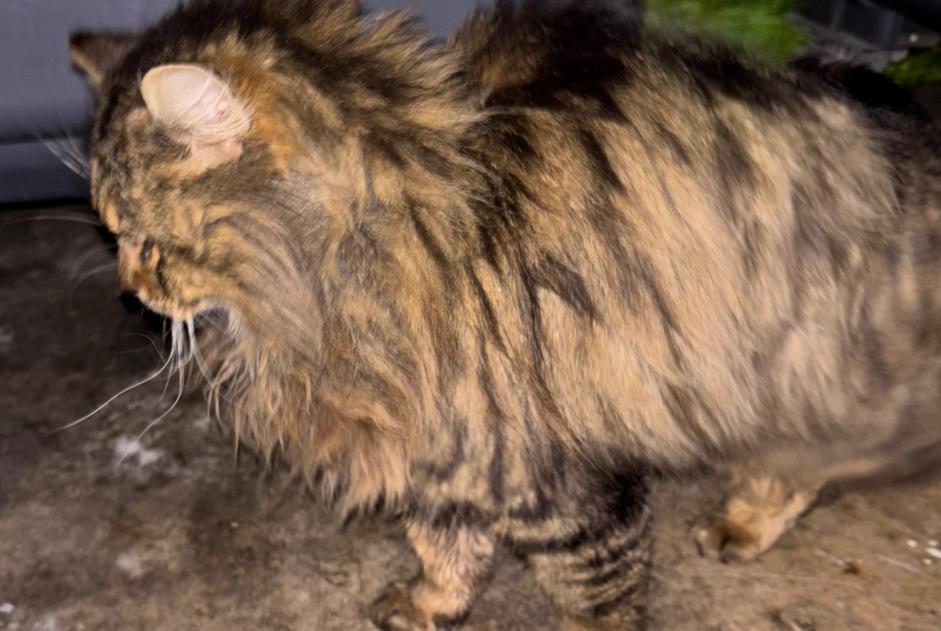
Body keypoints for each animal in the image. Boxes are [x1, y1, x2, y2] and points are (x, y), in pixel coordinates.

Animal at [68, 1, 940, 631]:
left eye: (146, 243)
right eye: (111, 234)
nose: (130, 288)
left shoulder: (560, 479)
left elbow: (595, 595)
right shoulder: (441, 445)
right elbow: (442, 543)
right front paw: (432, 604)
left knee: (811, 460)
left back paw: (746, 520)